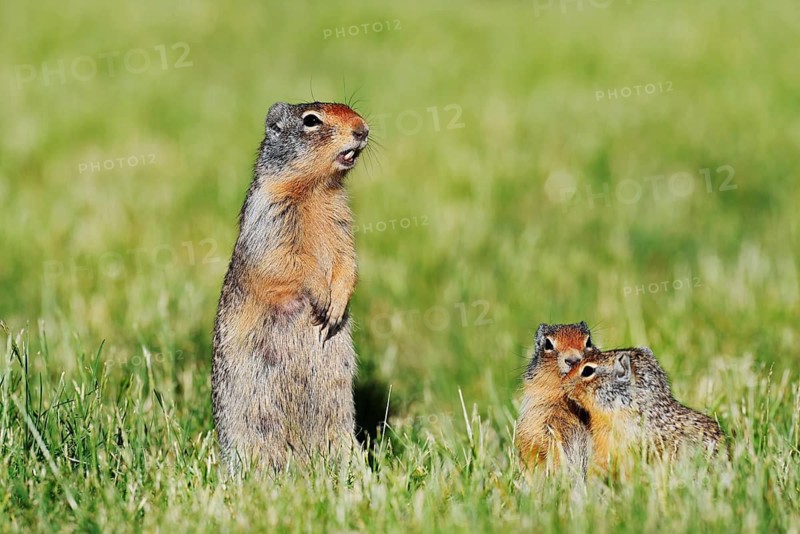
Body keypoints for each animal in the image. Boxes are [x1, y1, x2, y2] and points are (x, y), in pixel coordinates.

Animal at [211, 101, 370, 471]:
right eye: (311, 120)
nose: (363, 129)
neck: (316, 190)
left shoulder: (343, 223)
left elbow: (347, 262)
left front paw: (336, 305)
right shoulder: (271, 216)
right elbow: (287, 261)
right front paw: (322, 297)